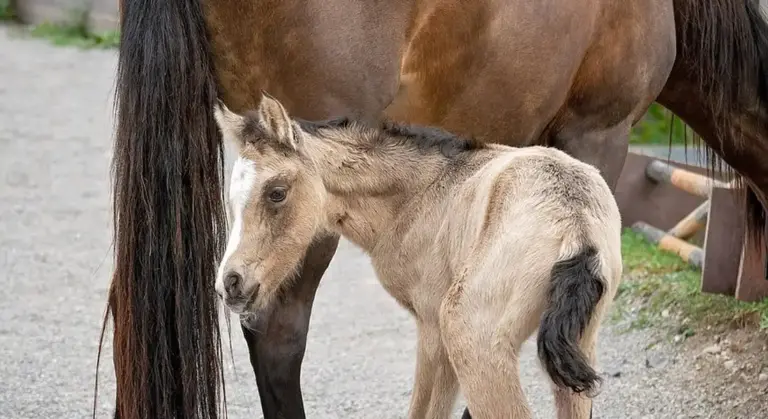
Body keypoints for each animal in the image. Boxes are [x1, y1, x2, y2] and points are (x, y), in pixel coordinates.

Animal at [211, 92, 624, 419]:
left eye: (276, 192)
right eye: (231, 198)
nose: (230, 283)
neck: (421, 191)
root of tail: (575, 224)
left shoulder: (431, 329)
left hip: (469, 334)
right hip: (581, 346)